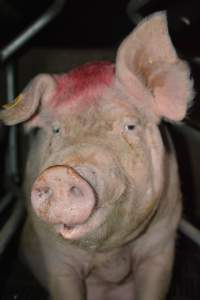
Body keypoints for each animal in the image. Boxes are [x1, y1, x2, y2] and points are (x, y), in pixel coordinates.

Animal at [0, 11, 194, 300]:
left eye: (130, 126)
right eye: (56, 129)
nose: (61, 173)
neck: (108, 255)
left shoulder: (161, 244)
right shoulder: (58, 260)